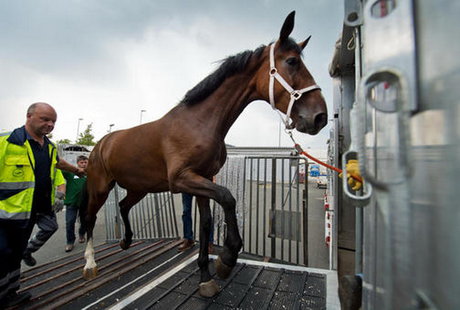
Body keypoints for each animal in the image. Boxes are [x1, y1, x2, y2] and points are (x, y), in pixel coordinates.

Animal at [82, 10, 328, 298]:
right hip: (100, 187)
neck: (198, 122)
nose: (320, 117)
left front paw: (206, 277)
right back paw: (89, 264)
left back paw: (126, 241)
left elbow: (207, 222)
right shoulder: (182, 179)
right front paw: (227, 258)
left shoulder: (204, 178)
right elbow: (228, 198)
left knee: (122, 205)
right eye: (291, 61)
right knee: (90, 217)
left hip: (138, 187)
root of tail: (102, 143)